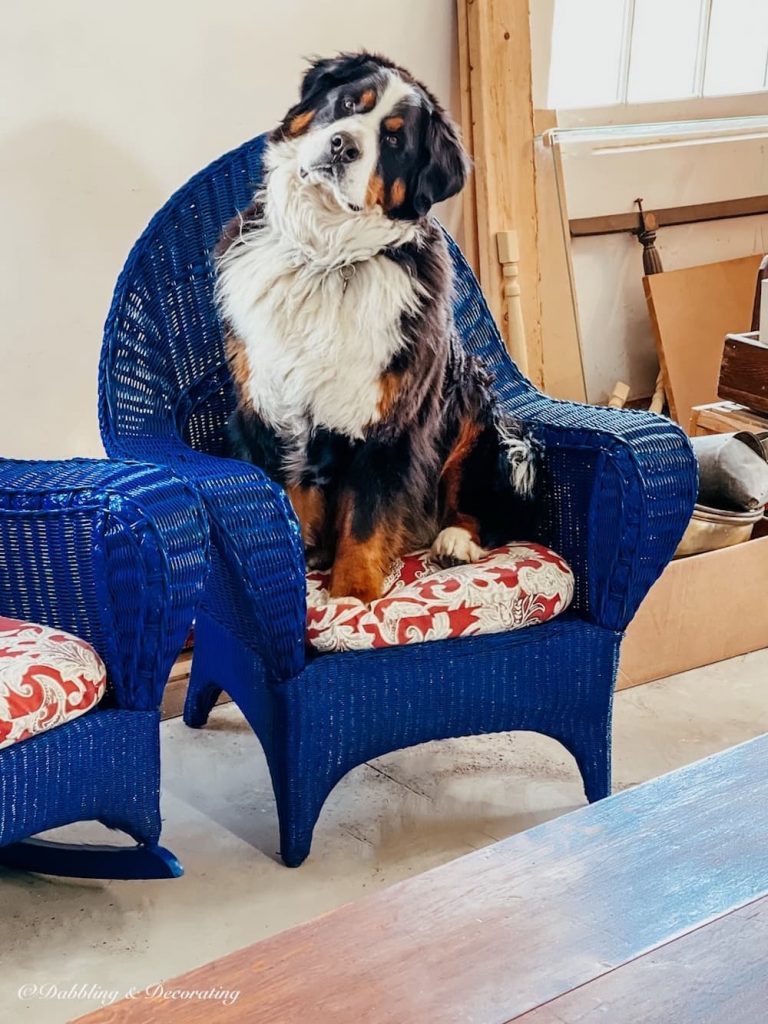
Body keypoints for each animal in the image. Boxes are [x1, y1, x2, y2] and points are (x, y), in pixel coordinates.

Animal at [217, 51, 536, 602]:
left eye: (393, 141)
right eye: (348, 104)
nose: (343, 145)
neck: (325, 259)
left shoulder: (391, 423)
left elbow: (366, 521)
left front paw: (353, 597)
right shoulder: (266, 406)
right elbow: (291, 503)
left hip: (479, 417)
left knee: (479, 503)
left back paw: (455, 541)